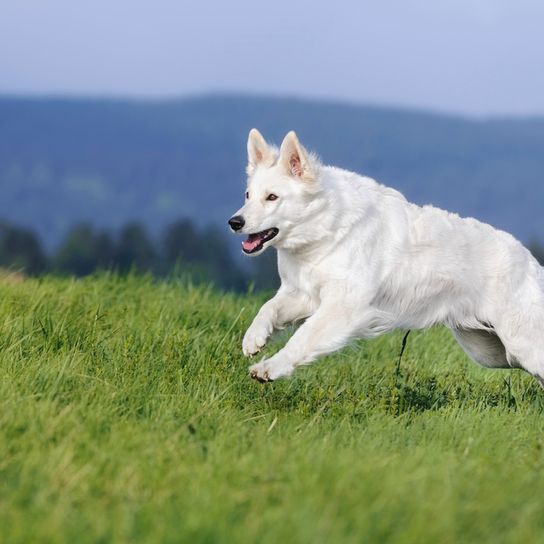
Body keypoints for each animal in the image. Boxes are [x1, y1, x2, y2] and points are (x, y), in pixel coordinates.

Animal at [228, 127, 544, 384]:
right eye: (247, 195)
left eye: (272, 197)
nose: (234, 222)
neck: (326, 228)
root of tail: (531, 261)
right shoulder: (305, 295)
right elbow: (269, 308)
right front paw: (254, 338)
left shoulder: (344, 307)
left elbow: (302, 338)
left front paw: (270, 368)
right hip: (489, 350)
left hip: (520, 344)